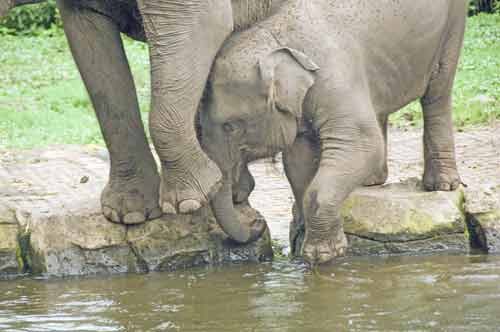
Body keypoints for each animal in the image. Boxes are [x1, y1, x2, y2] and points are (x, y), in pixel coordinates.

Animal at [201, 0, 466, 264]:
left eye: (230, 126)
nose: (257, 222)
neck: (276, 38)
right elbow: (298, 161)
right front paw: (313, 240)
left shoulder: (335, 75)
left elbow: (363, 144)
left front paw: (322, 255)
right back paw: (370, 181)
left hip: (452, 26)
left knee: (438, 92)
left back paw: (441, 185)